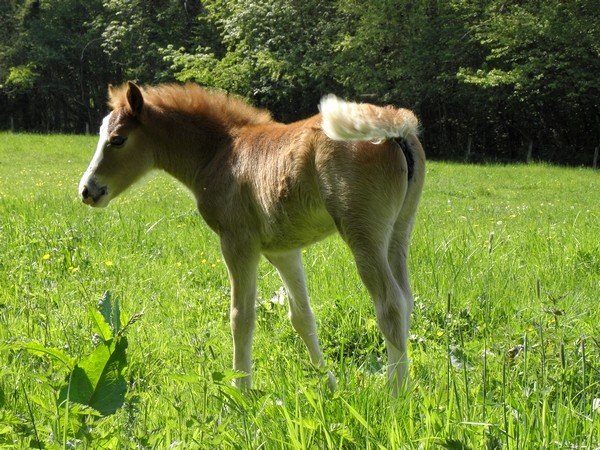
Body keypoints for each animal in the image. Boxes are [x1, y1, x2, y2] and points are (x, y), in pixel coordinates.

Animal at [81, 82, 426, 396]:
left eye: (117, 139)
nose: (87, 190)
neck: (220, 152)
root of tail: (395, 126)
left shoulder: (238, 243)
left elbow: (241, 317)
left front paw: (240, 391)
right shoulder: (283, 251)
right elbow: (302, 317)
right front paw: (328, 385)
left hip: (363, 233)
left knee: (390, 304)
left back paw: (396, 396)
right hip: (399, 231)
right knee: (406, 299)